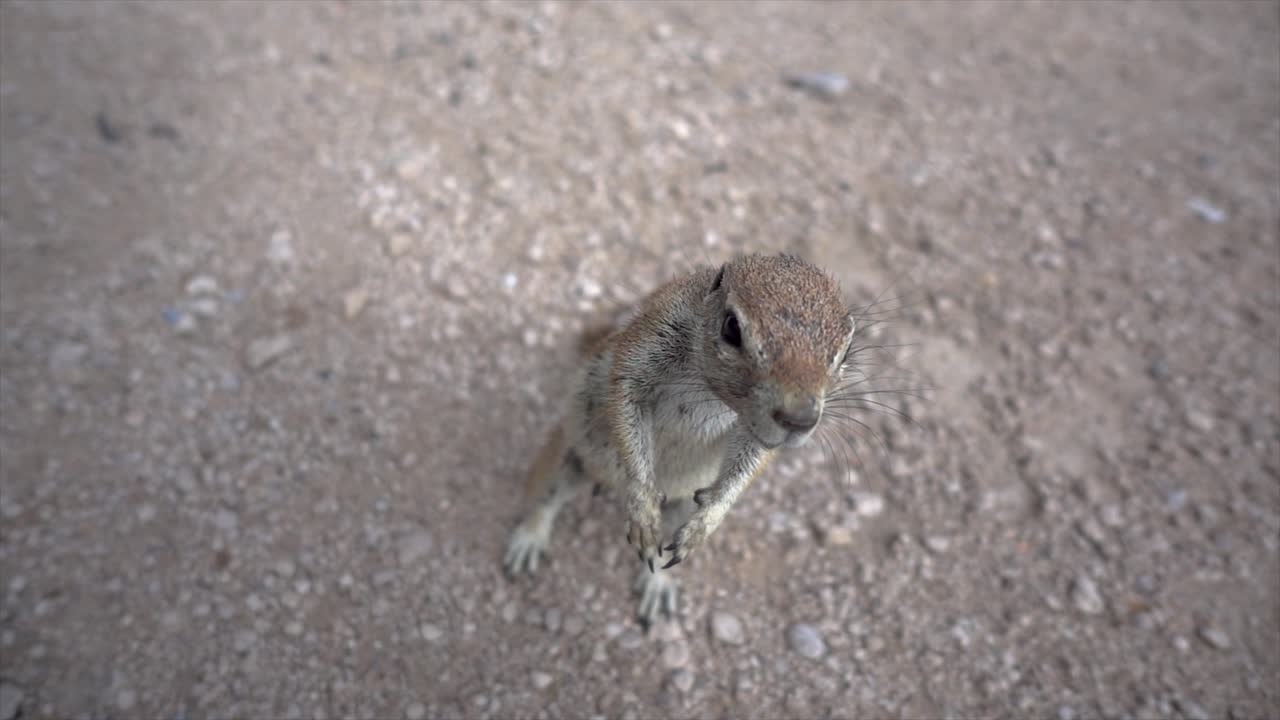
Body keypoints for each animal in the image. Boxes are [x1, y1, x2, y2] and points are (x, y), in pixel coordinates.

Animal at [504, 253, 858, 628]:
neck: (713, 392)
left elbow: (748, 464)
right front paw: (643, 510)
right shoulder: (649, 342)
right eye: (732, 328)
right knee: (545, 498)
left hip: (682, 502)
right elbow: (626, 401)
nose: (799, 419)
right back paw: (527, 541)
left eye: (846, 350)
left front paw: (706, 524)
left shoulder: (757, 433)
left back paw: (658, 582)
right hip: (567, 458)